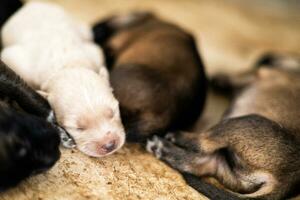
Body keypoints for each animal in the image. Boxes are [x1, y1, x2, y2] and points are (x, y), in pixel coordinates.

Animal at [0, 1, 125, 158]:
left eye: (113, 113)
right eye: (78, 128)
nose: (109, 145)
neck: (67, 64)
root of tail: (35, 4)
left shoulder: (94, 52)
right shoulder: (17, 63)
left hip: (81, 28)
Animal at [148, 54, 300, 200]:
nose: (263, 59)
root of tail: (286, 180)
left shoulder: (259, 72)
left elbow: (238, 75)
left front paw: (220, 78)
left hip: (239, 123)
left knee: (202, 143)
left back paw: (171, 140)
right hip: (231, 171)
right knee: (200, 163)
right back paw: (163, 149)